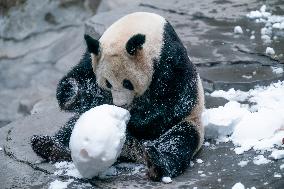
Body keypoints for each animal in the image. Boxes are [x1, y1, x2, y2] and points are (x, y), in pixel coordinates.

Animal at [30, 12, 204, 182]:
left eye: (128, 83)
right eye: (107, 83)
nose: (120, 104)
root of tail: (133, 150)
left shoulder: (170, 60)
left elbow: (172, 101)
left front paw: (139, 117)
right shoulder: (93, 55)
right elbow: (82, 77)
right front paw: (69, 91)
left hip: (189, 122)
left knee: (179, 140)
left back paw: (156, 163)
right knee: (69, 128)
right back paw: (48, 146)